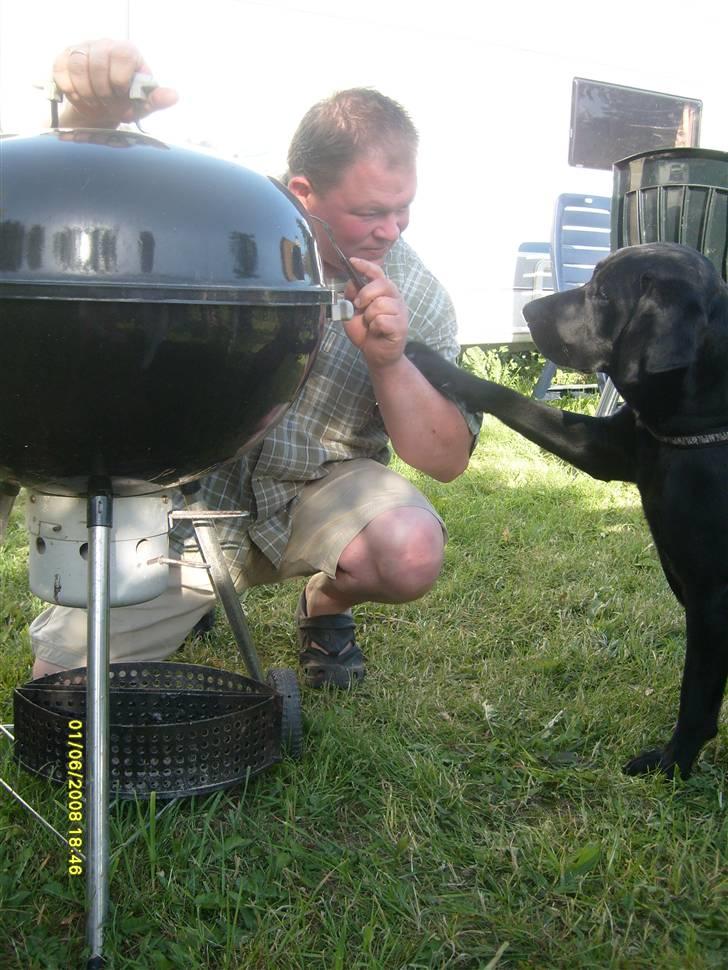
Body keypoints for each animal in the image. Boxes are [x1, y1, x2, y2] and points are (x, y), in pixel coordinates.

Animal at [406, 244, 728, 780]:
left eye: (602, 294)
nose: (528, 309)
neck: (697, 424)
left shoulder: (711, 599)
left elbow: (697, 698)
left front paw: (671, 763)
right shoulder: (603, 447)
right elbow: (510, 398)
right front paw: (429, 360)